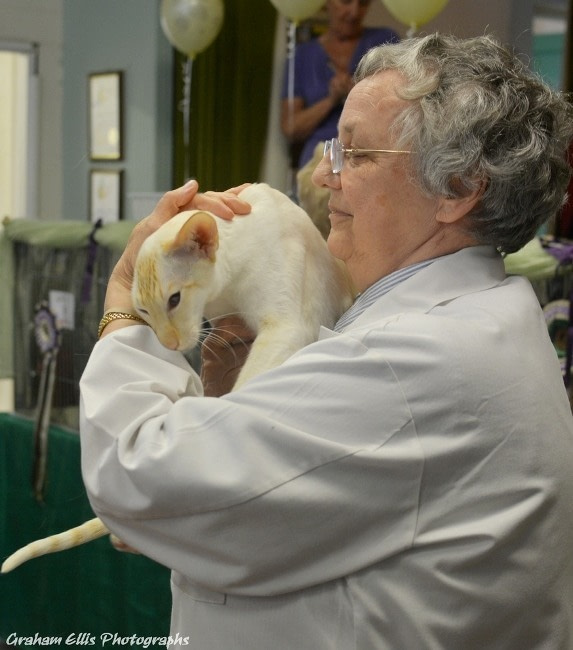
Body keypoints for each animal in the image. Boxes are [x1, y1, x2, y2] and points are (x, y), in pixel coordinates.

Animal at [1, 183, 355, 573]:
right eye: (143, 310)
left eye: (174, 299)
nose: (168, 343)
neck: (227, 289)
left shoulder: (289, 325)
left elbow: (243, 391)